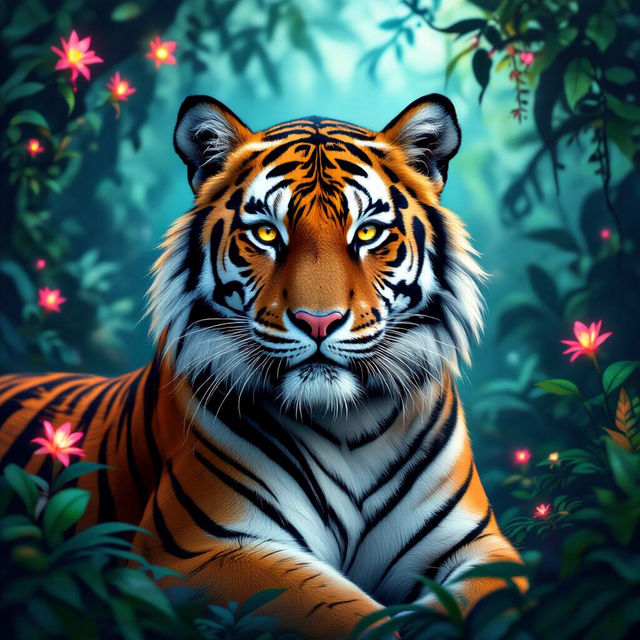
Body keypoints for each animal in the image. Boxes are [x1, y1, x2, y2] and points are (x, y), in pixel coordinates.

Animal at [0, 94, 525, 639]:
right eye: (267, 233)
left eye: (368, 232)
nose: (319, 321)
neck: (348, 425)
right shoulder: (195, 551)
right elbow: (352, 617)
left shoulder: (483, 548)